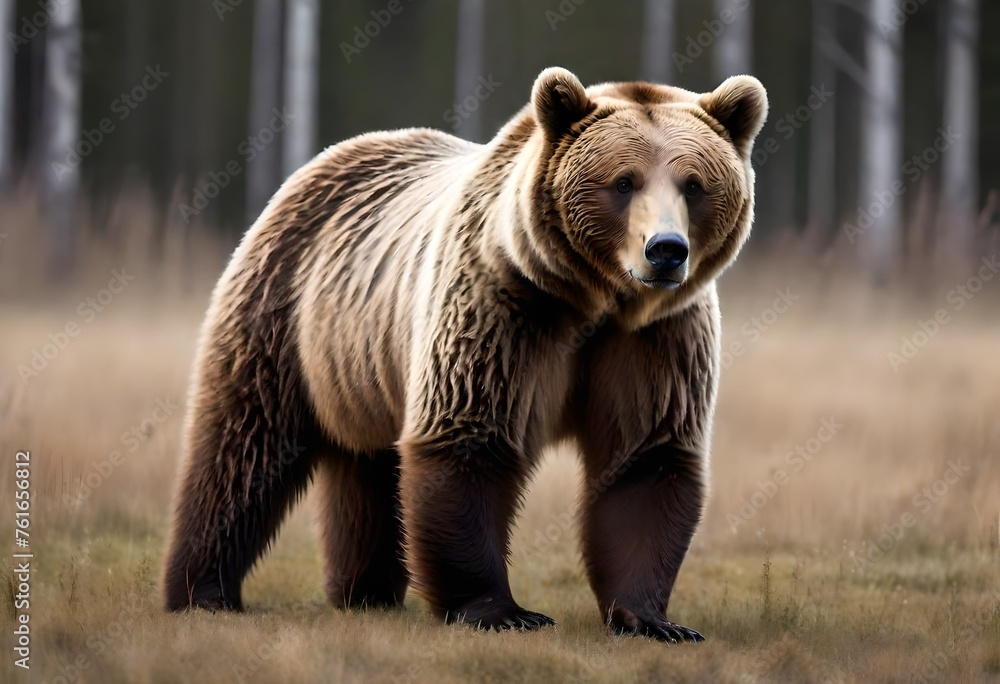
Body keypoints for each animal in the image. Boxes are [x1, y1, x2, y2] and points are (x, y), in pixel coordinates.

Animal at [162, 66, 767, 643]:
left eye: (694, 185)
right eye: (623, 181)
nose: (665, 250)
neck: (590, 301)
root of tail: (323, 160)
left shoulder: (654, 338)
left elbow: (646, 458)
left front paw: (655, 620)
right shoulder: (500, 306)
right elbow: (467, 438)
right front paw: (501, 611)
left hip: (359, 365)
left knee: (365, 466)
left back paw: (364, 592)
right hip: (284, 311)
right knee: (242, 445)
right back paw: (202, 591)